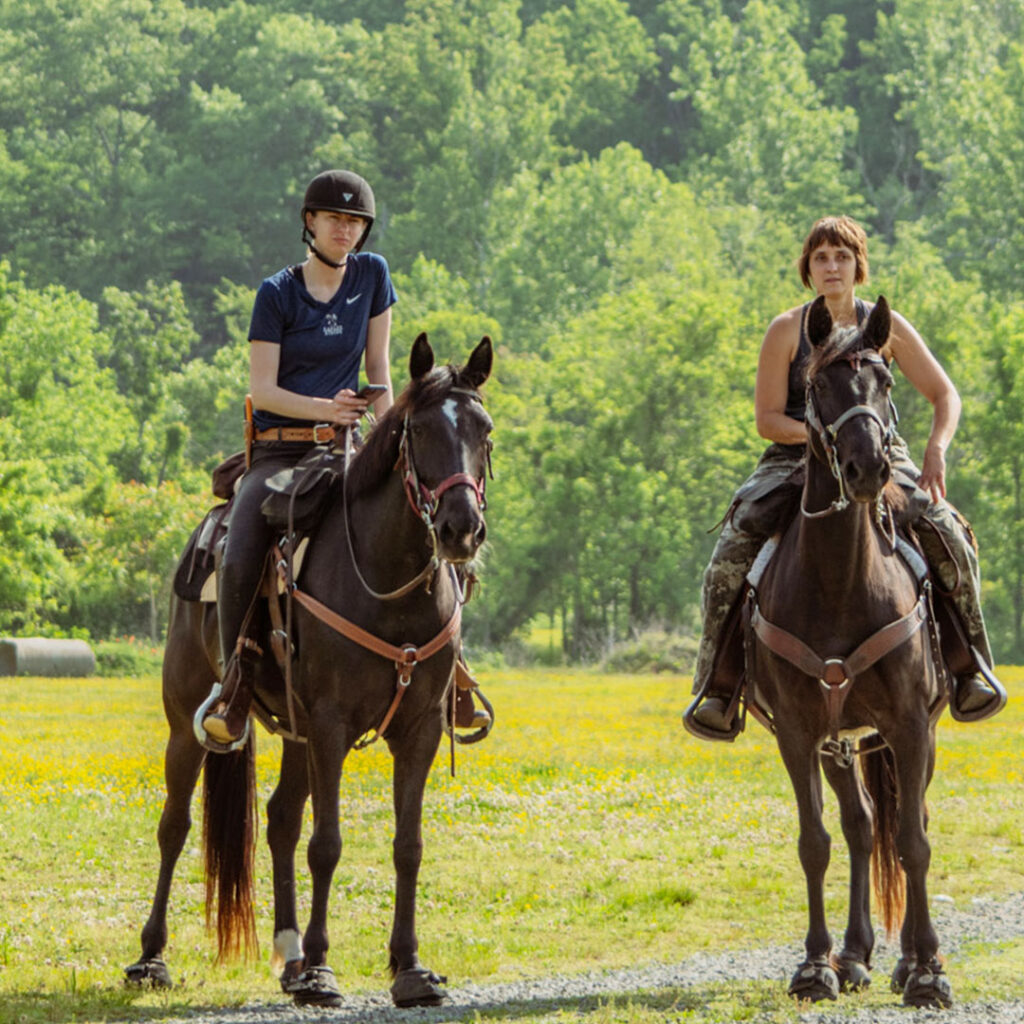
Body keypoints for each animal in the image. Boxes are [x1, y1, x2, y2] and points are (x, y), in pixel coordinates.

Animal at [125, 335, 493, 1007]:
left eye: (484, 430)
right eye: (420, 429)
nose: (461, 528)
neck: (385, 583)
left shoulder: (419, 730)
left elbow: (408, 846)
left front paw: (409, 968)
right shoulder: (330, 726)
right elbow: (327, 845)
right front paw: (324, 969)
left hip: (294, 732)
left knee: (278, 821)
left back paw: (290, 956)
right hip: (186, 723)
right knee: (175, 824)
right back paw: (152, 958)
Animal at [749, 296, 954, 1007]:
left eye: (885, 381)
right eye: (817, 386)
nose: (868, 470)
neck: (839, 581)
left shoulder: (910, 724)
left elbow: (914, 841)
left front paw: (927, 972)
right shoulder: (800, 732)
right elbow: (816, 842)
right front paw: (816, 965)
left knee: (907, 819)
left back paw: (903, 960)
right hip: (844, 743)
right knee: (862, 825)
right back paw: (857, 954)